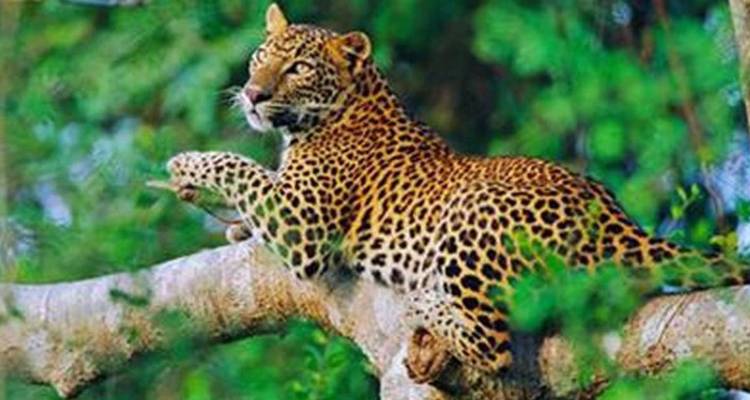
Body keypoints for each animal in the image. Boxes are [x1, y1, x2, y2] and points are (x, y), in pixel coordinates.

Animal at [165, 3, 750, 385]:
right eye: (259, 57)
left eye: (299, 68)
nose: (252, 94)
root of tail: (616, 221)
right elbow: (253, 183)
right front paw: (236, 226)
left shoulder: (302, 224)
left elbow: (241, 167)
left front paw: (186, 163)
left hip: (470, 220)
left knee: (493, 347)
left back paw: (429, 302)